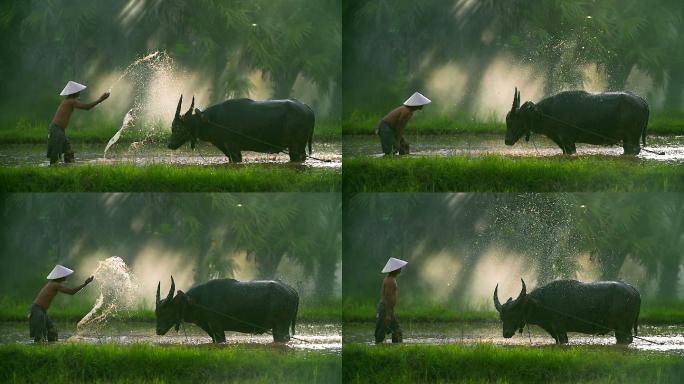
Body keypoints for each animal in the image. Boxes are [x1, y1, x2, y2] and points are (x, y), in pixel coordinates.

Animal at [156, 276, 298, 342]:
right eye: (157, 313)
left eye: (166, 311)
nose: (158, 330)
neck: (198, 300)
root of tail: (292, 290)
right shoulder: (211, 330)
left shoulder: (217, 328)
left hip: (281, 327)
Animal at [169, 97, 316, 163]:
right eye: (172, 127)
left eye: (178, 128)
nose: (169, 145)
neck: (213, 120)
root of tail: (307, 108)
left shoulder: (233, 148)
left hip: (296, 146)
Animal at [494, 278, 640, 344]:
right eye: (502, 318)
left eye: (514, 314)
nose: (506, 333)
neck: (543, 302)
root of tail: (633, 290)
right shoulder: (554, 331)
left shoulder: (559, 329)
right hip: (619, 329)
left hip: (623, 327)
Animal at [504, 88, 648, 154]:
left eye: (513, 120)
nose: (507, 140)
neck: (548, 113)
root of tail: (642, 100)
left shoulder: (568, 141)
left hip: (632, 139)